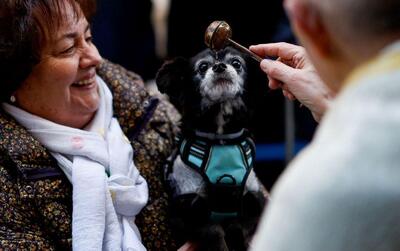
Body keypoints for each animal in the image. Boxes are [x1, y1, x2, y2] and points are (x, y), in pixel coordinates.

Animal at [155, 46, 266, 249]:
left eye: (236, 63)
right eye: (203, 66)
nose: (219, 66)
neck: (221, 139)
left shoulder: (253, 202)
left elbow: (236, 227)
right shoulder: (185, 210)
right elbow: (213, 231)